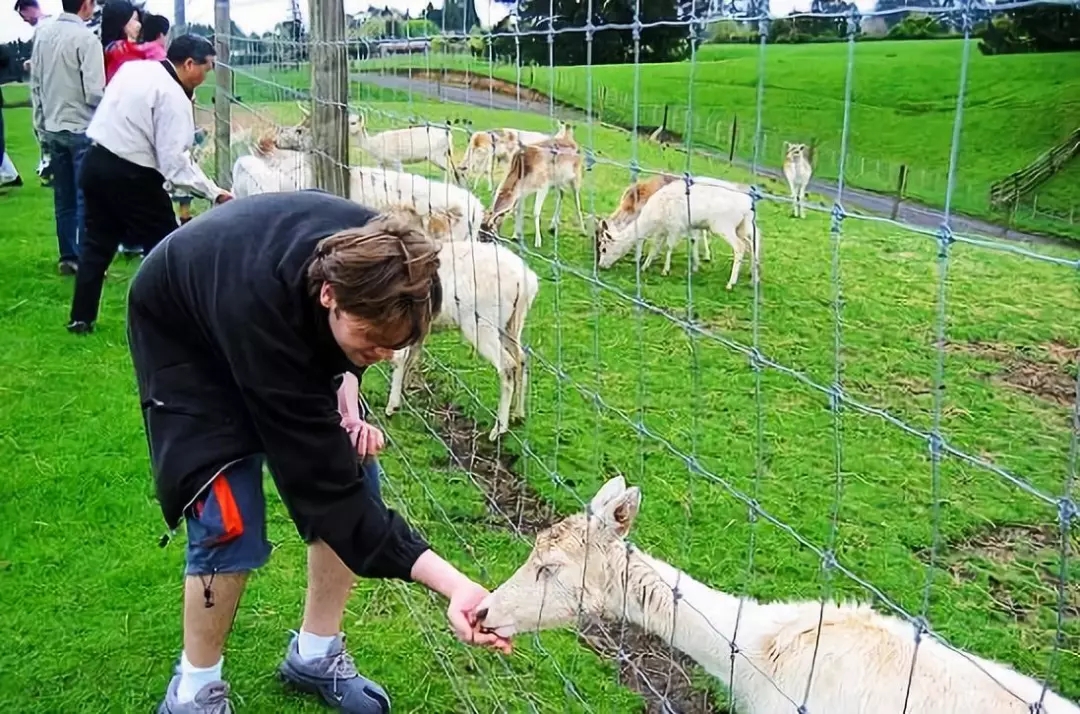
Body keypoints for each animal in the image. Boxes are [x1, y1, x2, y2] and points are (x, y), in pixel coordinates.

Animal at [383, 203, 540, 441]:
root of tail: (525, 281)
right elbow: (411, 356)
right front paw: (404, 393)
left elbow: (400, 358)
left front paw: (392, 406)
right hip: (512, 323)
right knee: (521, 358)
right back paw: (518, 414)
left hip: (482, 323)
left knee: (508, 365)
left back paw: (498, 429)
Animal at [595, 177, 760, 289]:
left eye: (603, 248)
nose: (601, 266)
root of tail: (748, 205)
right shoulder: (663, 229)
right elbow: (655, 247)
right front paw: (644, 267)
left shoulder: (675, 225)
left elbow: (668, 247)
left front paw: (665, 270)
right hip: (742, 226)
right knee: (752, 244)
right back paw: (753, 280)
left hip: (723, 225)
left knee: (740, 247)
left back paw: (731, 283)